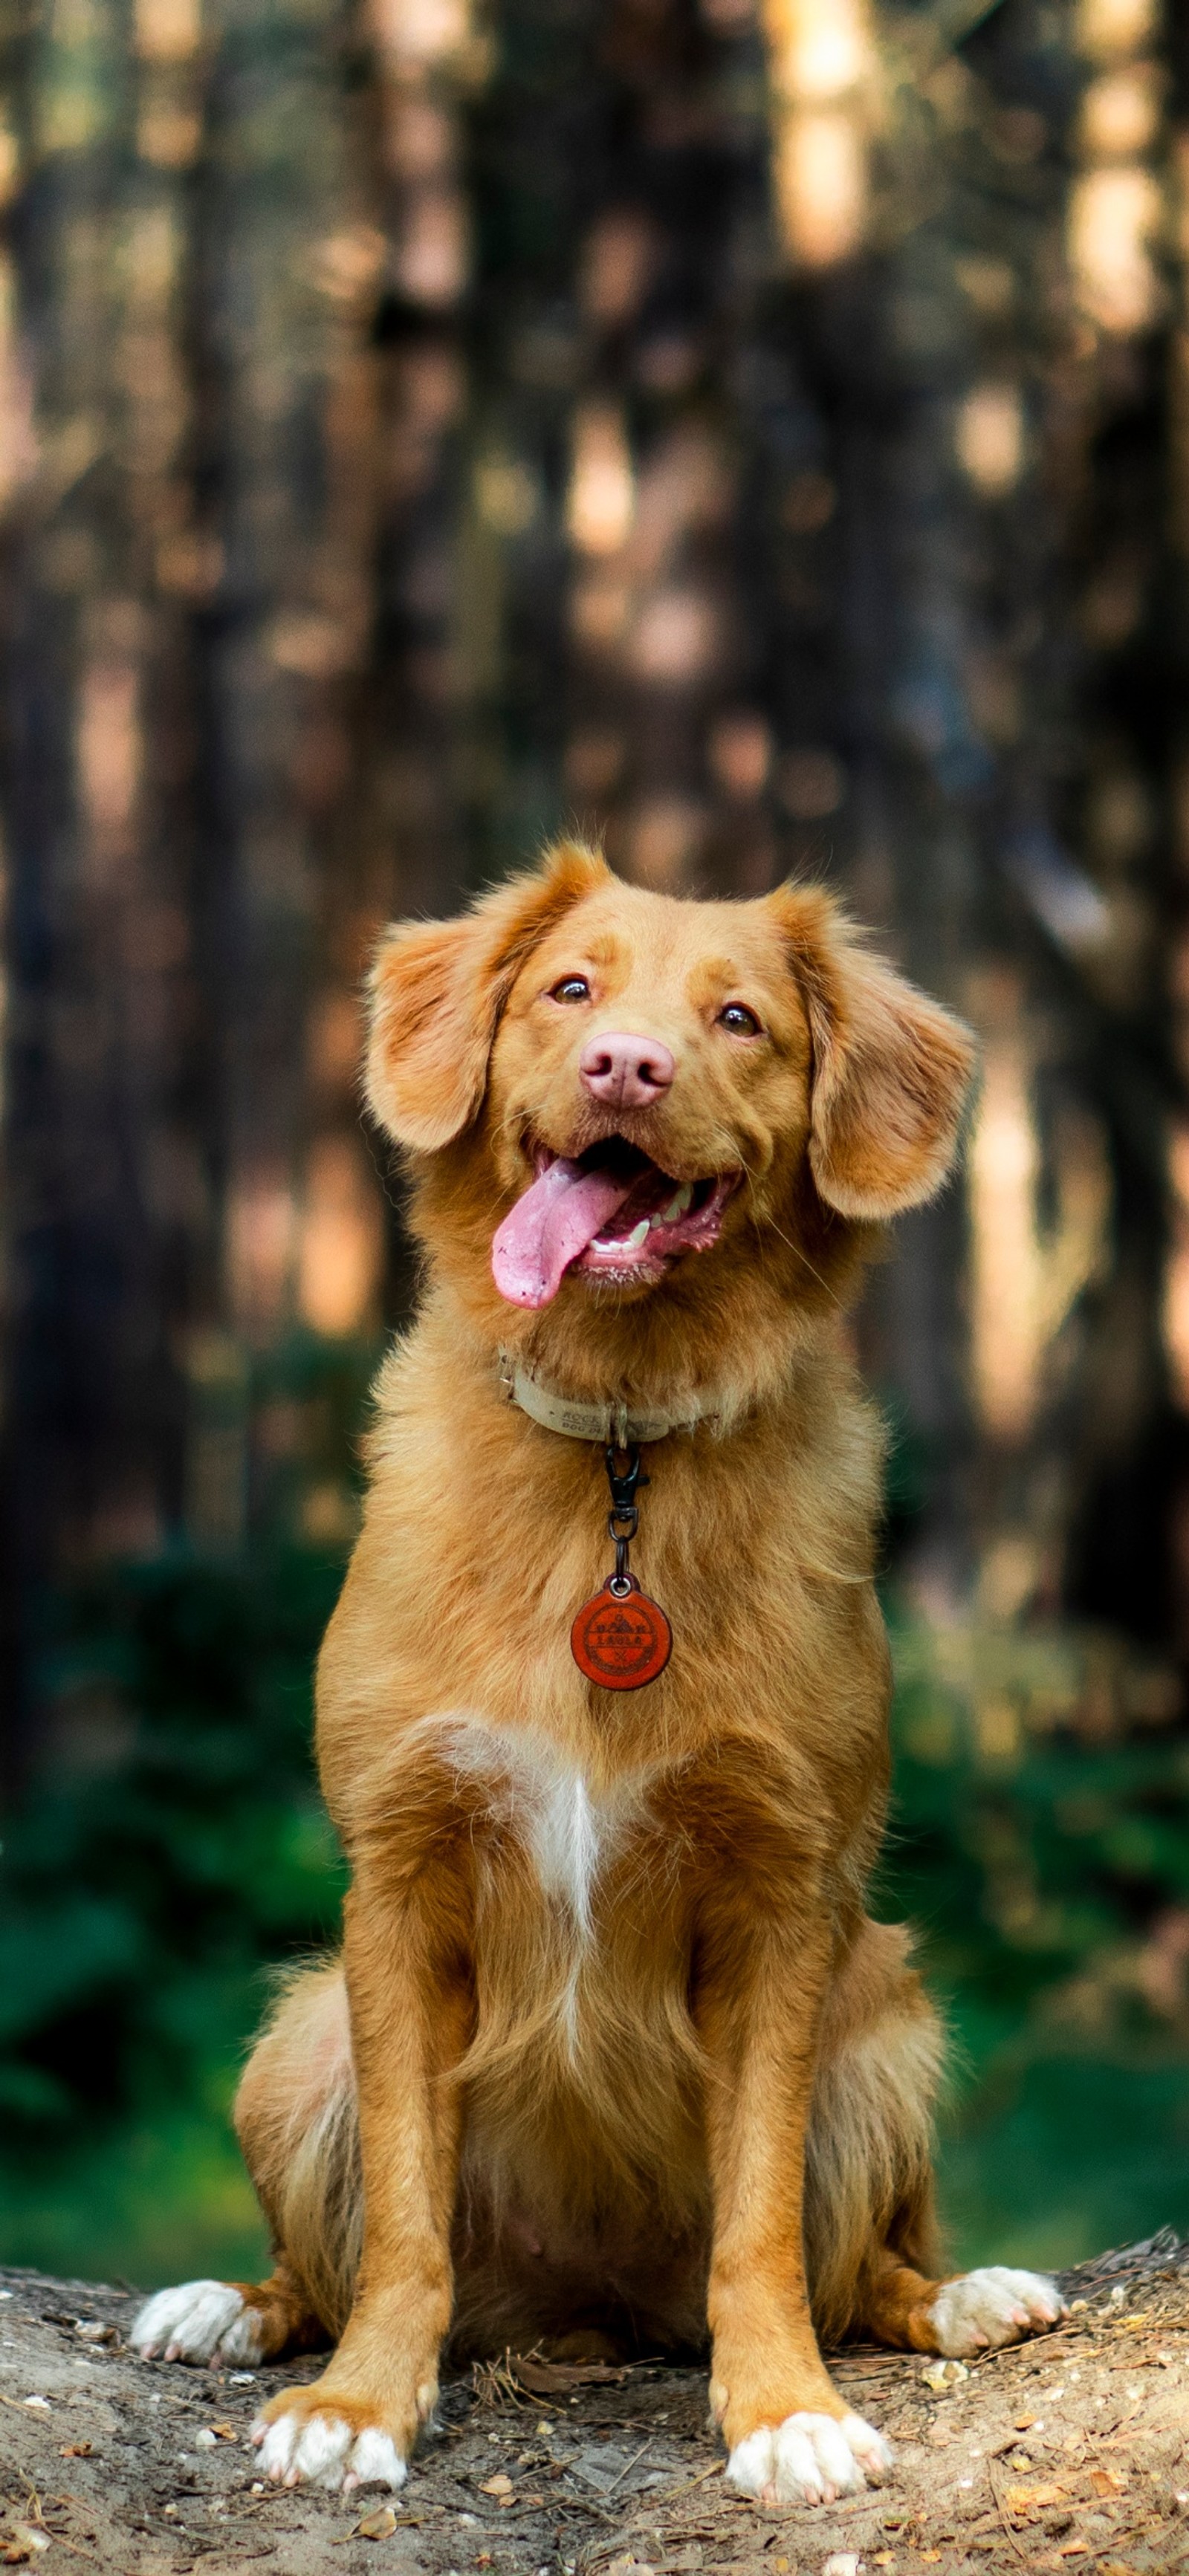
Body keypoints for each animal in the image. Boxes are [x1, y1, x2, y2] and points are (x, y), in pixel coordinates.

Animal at [134, 855, 1062, 2503]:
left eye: (739, 1018)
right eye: (570, 988)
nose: (625, 1065)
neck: (619, 1436)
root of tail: (587, 2311)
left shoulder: (780, 1899)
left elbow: (760, 2218)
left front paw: (781, 2405)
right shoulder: (401, 1881)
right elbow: (404, 2216)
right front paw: (361, 2400)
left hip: (890, 2019)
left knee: (866, 2264)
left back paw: (959, 2292)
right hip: (294, 2042)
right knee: (318, 2255)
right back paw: (230, 2307)